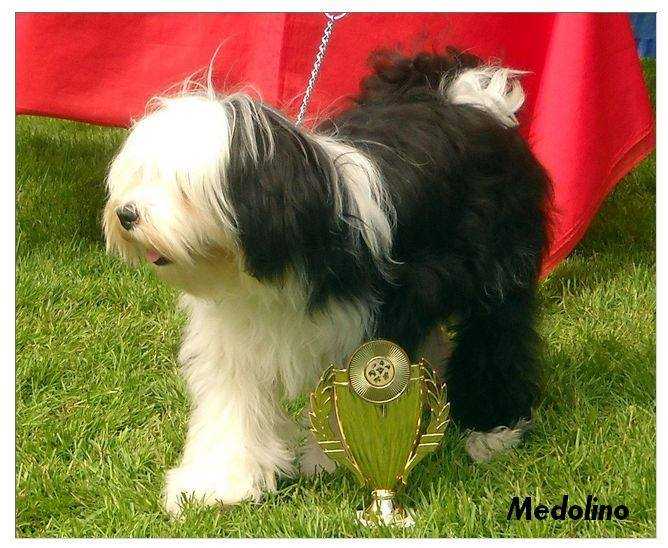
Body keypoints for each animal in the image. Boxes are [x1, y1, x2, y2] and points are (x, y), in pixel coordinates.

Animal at [103, 50, 548, 512]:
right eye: (141, 175)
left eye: (184, 188)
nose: (126, 214)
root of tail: (470, 101)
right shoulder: (237, 339)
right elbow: (233, 408)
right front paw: (217, 484)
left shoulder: (367, 327)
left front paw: (331, 461)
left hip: (497, 274)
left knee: (497, 342)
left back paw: (493, 429)